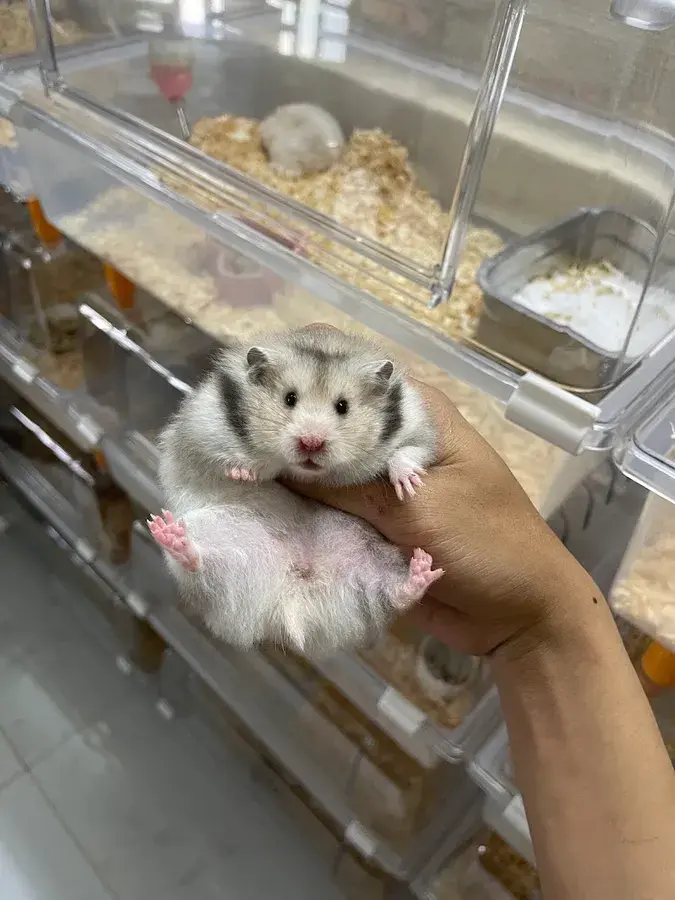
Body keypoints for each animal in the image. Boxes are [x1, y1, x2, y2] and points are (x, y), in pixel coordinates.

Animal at [149, 326, 441, 656]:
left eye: (343, 406)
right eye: (289, 398)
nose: (311, 443)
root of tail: (289, 601)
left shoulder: (419, 430)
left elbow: (408, 452)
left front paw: (408, 486)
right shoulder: (204, 429)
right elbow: (232, 456)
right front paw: (244, 473)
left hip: (374, 567)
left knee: (395, 595)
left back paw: (422, 570)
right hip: (212, 537)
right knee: (197, 568)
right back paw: (169, 534)